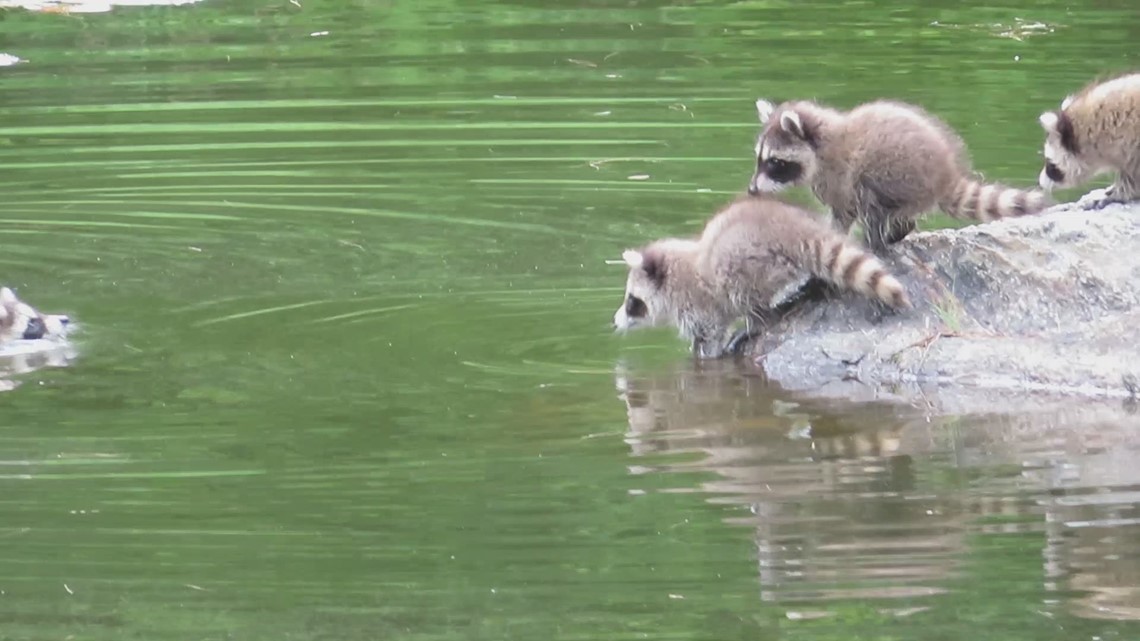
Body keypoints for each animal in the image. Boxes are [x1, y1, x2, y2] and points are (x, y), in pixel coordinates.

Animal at [611, 195, 910, 358]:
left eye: (632, 301)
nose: (615, 322)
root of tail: (790, 226)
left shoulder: (699, 306)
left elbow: (709, 337)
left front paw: (706, 356)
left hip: (749, 261)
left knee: (744, 294)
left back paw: (755, 322)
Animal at [748, 98, 1051, 254]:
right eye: (759, 158)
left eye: (775, 163)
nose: (751, 190)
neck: (819, 145)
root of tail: (947, 176)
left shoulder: (838, 177)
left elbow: (843, 213)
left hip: (896, 175)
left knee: (870, 197)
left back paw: (878, 239)